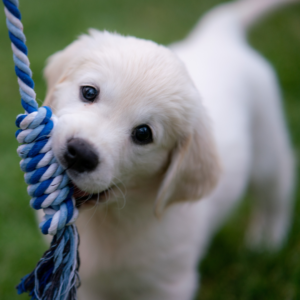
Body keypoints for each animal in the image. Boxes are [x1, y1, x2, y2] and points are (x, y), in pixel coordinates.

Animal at [41, 0, 296, 300]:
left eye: (143, 134)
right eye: (89, 92)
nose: (80, 153)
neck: (110, 220)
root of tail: (219, 37)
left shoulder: (170, 284)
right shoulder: (87, 287)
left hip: (267, 144)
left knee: (277, 186)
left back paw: (267, 242)